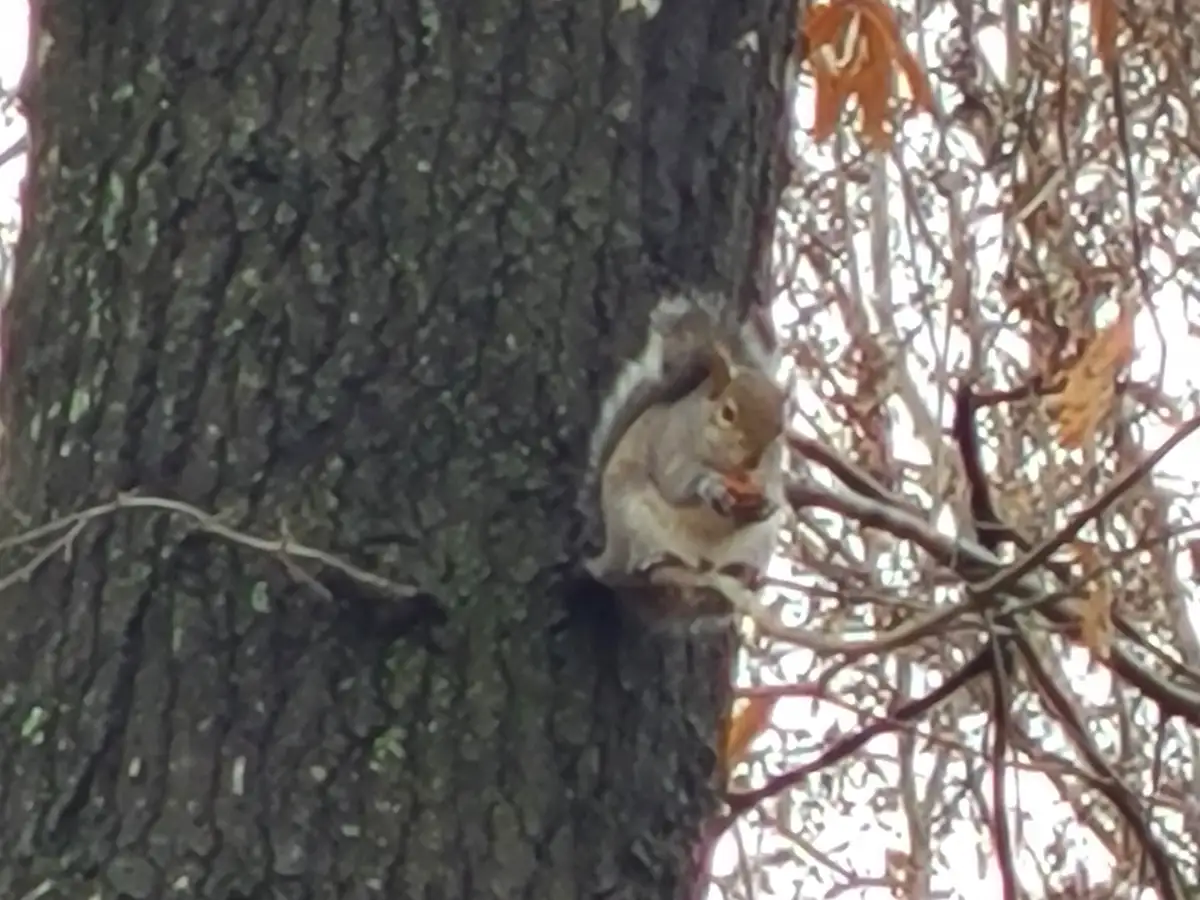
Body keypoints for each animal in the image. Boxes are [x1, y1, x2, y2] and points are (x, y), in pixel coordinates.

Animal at [580, 292, 789, 630]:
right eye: (727, 413)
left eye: (781, 428)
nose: (753, 461)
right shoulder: (669, 443)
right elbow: (677, 482)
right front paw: (711, 487)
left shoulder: (771, 473)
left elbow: (772, 492)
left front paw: (766, 503)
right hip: (634, 518)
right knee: (639, 563)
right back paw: (655, 561)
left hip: (756, 542)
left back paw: (740, 574)